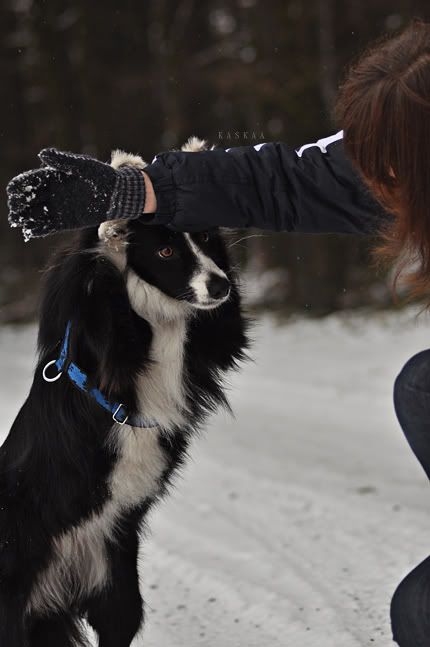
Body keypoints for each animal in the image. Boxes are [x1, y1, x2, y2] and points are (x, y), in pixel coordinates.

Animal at [0, 140, 249, 647]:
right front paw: (114, 219)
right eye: (167, 249)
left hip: (116, 583)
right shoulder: (98, 327)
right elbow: (103, 277)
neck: (159, 319)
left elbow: (224, 331)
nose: (219, 285)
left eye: (206, 239)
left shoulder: (208, 344)